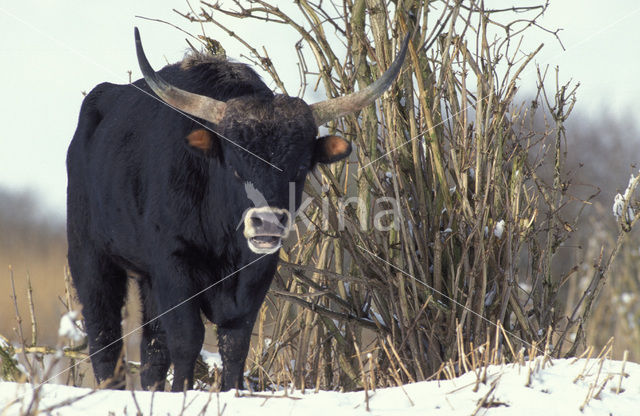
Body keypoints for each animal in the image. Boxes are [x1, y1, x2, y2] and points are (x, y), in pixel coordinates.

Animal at [66, 27, 410, 392]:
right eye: (234, 166)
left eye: (301, 167)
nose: (267, 223)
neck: (223, 240)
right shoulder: (173, 264)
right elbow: (187, 338)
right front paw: (182, 392)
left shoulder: (256, 272)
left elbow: (235, 342)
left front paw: (231, 391)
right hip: (91, 257)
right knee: (104, 335)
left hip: (146, 279)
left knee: (152, 349)